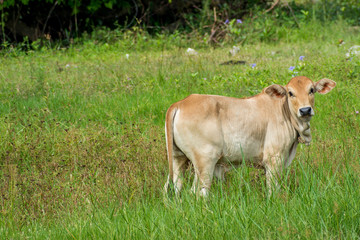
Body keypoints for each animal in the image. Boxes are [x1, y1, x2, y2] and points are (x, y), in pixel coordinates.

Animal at [165, 76, 336, 196]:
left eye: (311, 90)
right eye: (290, 93)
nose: (305, 110)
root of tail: (180, 103)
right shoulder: (274, 159)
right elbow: (273, 190)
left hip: (178, 159)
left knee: (175, 187)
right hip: (204, 162)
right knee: (198, 192)